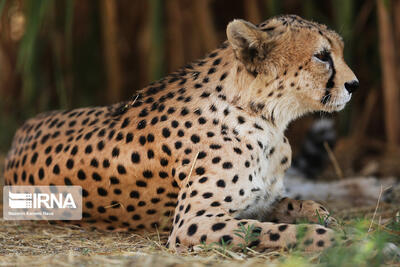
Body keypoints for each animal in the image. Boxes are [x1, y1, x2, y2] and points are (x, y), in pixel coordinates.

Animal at [3, 15, 360, 253]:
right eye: (322, 56)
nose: (354, 85)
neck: (263, 114)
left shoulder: (257, 200)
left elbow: (299, 205)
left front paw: (325, 217)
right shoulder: (194, 221)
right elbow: (278, 231)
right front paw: (343, 241)